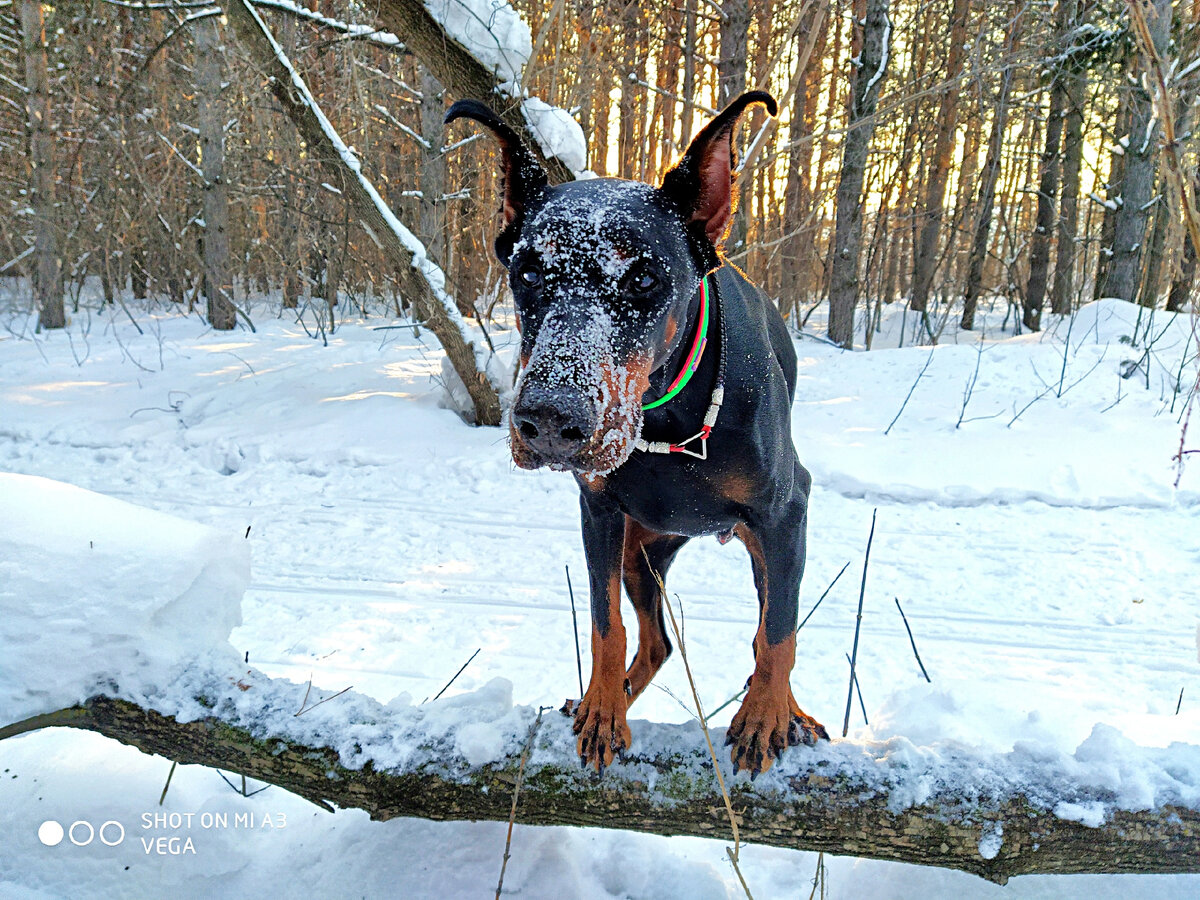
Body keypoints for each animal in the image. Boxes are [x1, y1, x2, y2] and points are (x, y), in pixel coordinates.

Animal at [446, 93, 830, 782]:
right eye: (528, 272)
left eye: (645, 278)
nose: (549, 422)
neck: (665, 420)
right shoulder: (597, 512)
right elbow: (605, 625)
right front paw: (603, 713)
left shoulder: (787, 513)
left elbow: (778, 633)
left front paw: (765, 717)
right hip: (639, 551)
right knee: (655, 640)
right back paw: (611, 698)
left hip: (760, 544)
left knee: (767, 619)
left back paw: (788, 711)